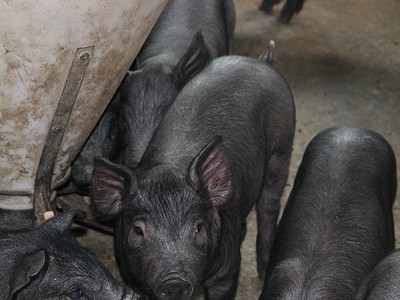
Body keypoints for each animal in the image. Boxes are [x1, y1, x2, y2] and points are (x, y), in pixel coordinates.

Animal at [92, 54, 296, 300]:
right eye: (138, 229)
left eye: (198, 227)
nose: (174, 281)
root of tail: (260, 60)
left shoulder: (227, 273)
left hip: (282, 143)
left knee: (269, 203)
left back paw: (263, 273)